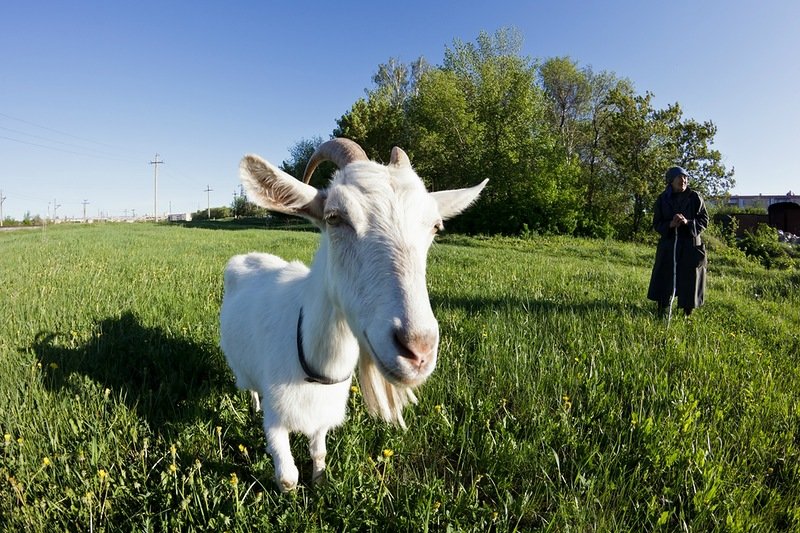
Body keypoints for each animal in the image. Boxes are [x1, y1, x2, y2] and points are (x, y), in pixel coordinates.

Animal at [220, 138, 487, 491]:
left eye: (435, 226)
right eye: (335, 217)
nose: (418, 351)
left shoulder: (323, 415)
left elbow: (319, 452)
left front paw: (319, 480)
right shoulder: (277, 418)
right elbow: (288, 477)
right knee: (250, 386)